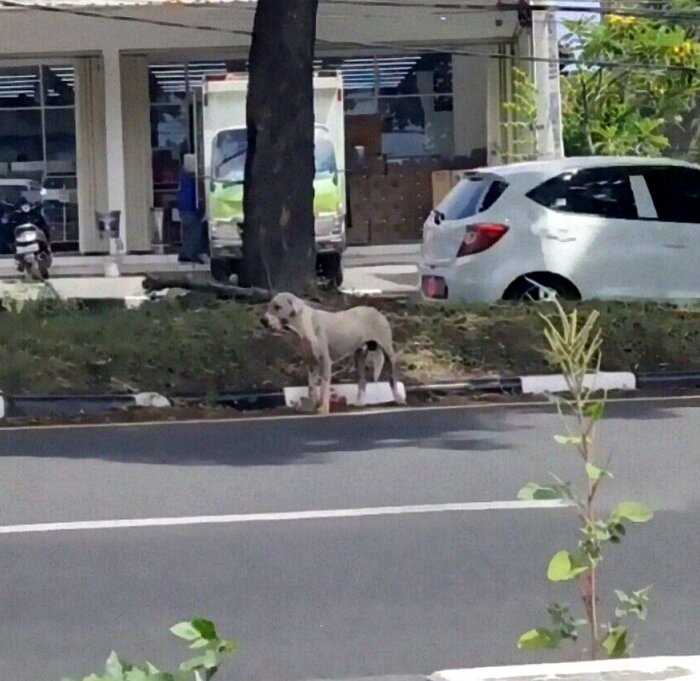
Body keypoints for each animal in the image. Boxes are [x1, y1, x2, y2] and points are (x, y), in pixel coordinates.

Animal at [262, 290, 404, 412]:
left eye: (277, 307)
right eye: (269, 306)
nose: (262, 320)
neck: (304, 324)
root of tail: (375, 311)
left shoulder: (325, 362)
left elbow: (324, 388)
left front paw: (323, 409)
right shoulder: (311, 364)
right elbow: (311, 388)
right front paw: (312, 407)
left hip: (388, 352)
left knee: (393, 378)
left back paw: (398, 399)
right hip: (359, 356)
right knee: (362, 381)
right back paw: (360, 403)